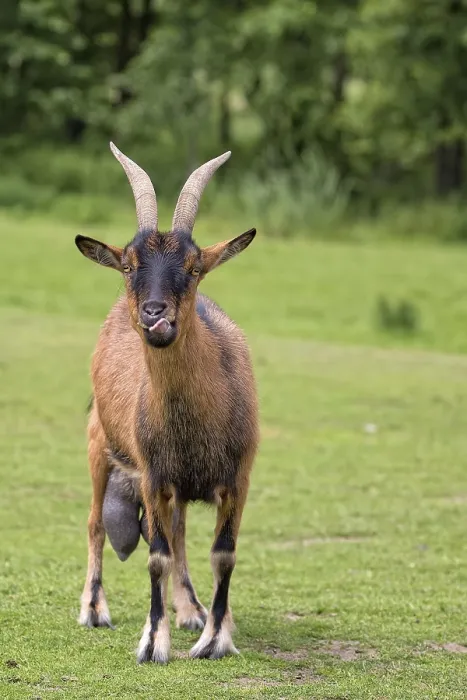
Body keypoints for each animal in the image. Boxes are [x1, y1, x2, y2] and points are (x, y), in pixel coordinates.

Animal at [75, 143, 259, 664]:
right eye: (128, 264)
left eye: (195, 267)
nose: (154, 315)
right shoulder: (153, 475)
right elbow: (156, 555)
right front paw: (153, 642)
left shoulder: (238, 477)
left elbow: (222, 553)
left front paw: (214, 636)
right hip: (99, 446)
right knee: (96, 524)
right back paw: (94, 608)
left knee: (178, 535)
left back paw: (192, 608)